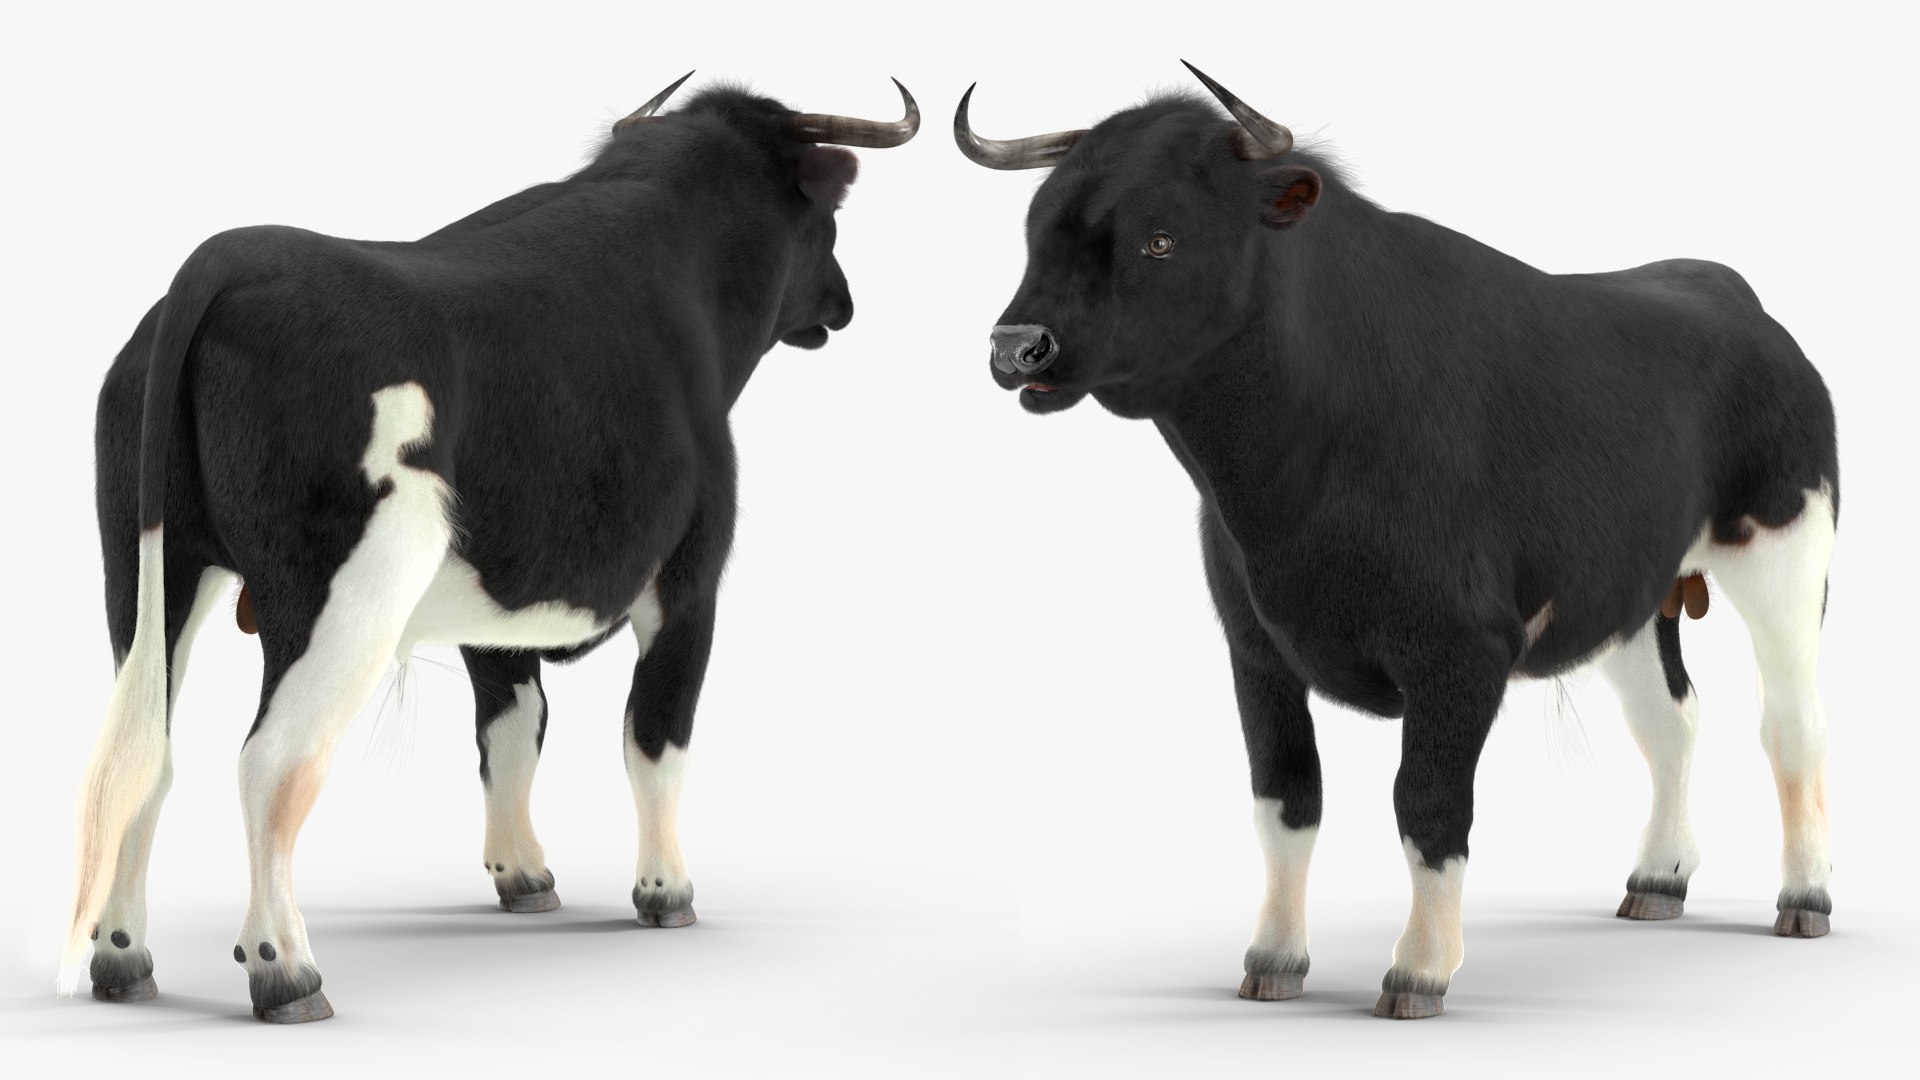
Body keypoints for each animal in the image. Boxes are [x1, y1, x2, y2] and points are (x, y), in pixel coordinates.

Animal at [63, 72, 920, 1022]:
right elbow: (655, 739)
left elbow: (512, 732)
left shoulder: (496, 612)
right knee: (269, 765)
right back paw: (286, 971)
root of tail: (236, 257)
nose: (844, 303)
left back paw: (123, 958)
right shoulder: (688, 582)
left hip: (148, 569)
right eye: (826, 220)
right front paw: (667, 892)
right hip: (338, 598)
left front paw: (525, 878)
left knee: (143, 750)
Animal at [956, 62, 1838, 1019]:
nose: (1017, 347)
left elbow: (1428, 806)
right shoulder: (1255, 647)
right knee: (1671, 722)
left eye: (1159, 238)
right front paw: (1273, 960)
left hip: (1788, 560)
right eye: (1036, 229)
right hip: (1637, 597)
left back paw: (1806, 897)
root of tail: (1723, 288)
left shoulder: (1461, 653)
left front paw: (1419, 969)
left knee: (1792, 725)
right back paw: (1658, 880)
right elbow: (1286, 800)